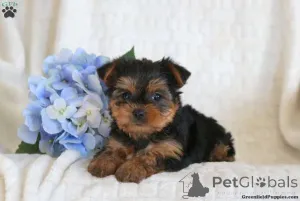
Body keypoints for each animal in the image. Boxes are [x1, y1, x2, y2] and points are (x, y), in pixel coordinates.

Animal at [88, 57, 236, 183]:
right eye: (126, 95)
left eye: (157, 97)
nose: (138, 112)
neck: (143, 135)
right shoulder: (117, 140)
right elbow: (112, 150)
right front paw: (102, 163)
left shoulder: (171, 151)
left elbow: (150, 156)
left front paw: (130, 169)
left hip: (220, 140)